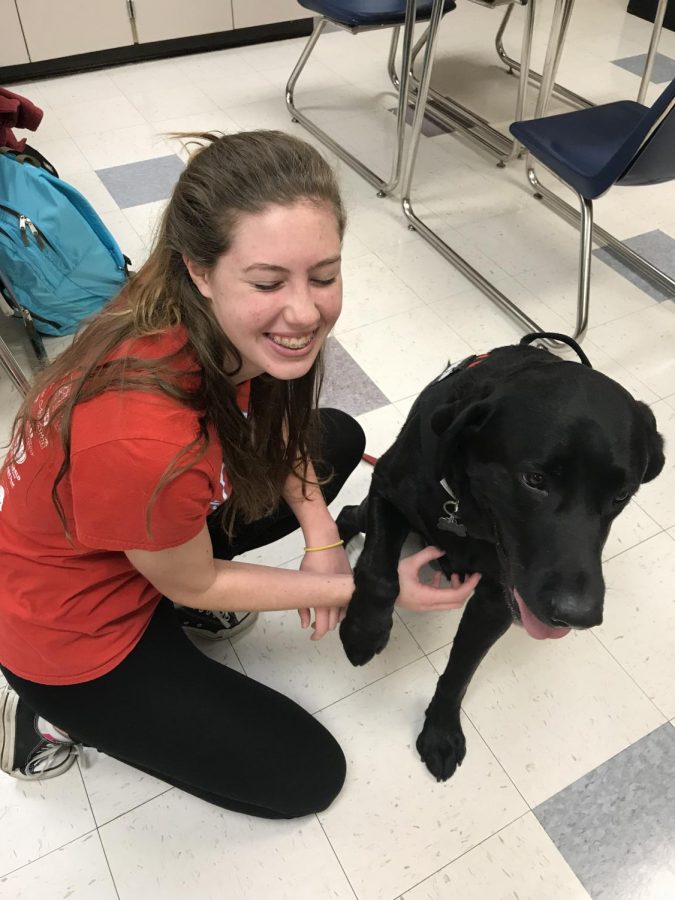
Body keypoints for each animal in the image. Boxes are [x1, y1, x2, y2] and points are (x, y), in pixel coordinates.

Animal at [338, 334, 664, 784]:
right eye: (534, 480)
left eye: (621, 495)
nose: (577, 616)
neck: (463, 510)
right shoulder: (386, 488)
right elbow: (377, 573)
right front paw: (363, 631)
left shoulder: (496, 600)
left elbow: (461, 670)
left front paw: (441, 731)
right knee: (349, 515)